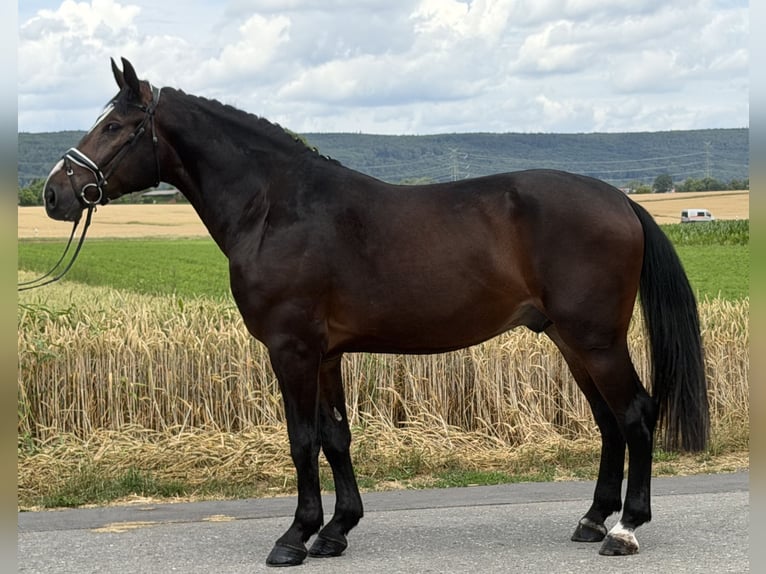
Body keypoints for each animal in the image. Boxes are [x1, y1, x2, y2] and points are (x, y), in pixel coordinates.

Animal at [42, 58, 709, 567]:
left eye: (117, 125)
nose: (54, 193)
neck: (277, 207)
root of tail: (620, 200)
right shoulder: (327, 353)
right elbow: (336, 437)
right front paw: (336, 531)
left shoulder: (292, 349)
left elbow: (302, 439)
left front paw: (294, 537)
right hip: (570, 341)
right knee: (607, 422)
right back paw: (593, 520)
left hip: (596, 339)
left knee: (635, 412)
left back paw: (625, 529)